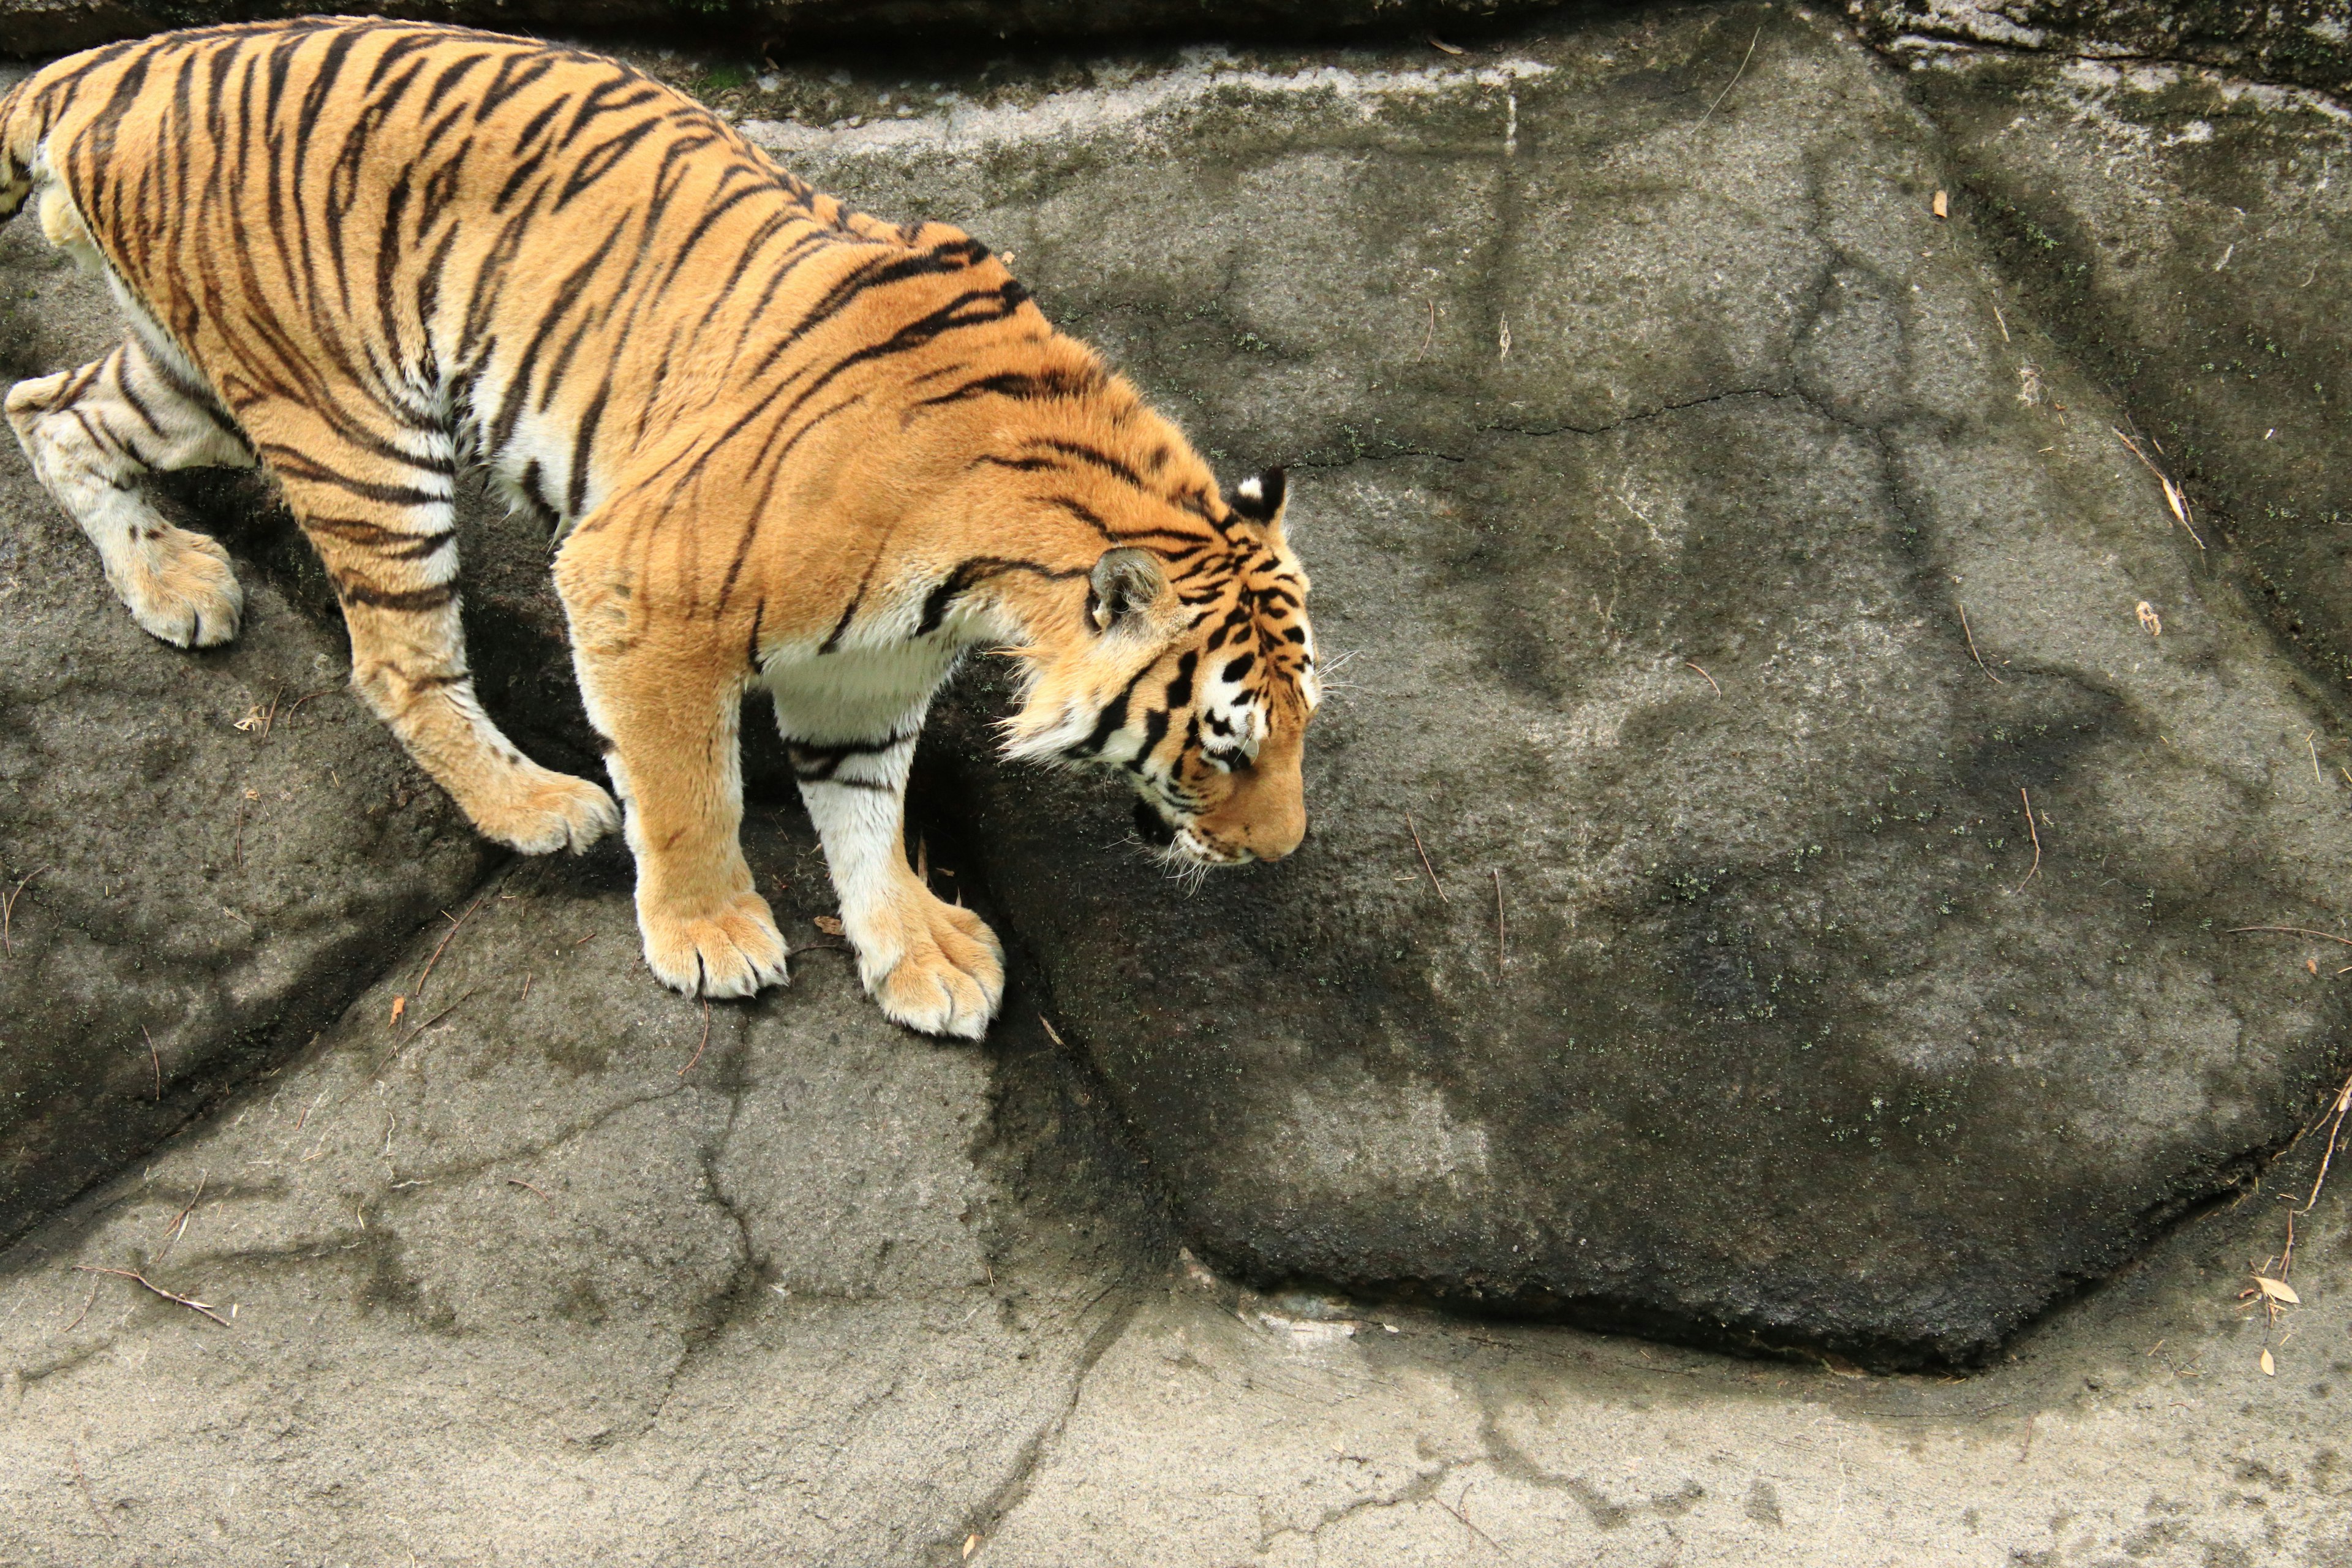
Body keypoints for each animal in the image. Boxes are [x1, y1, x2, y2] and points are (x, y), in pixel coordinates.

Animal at [0, 18, 1317, 1044]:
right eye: (1224, 746)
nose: (1280, 855)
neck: (991, 581)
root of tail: (106, 63)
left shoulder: (872, 664)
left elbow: (869, 808)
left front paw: (914, 949)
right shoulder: (640, 590)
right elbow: (694, 793)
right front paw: (711, 934)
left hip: (208, 379)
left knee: (47, 408)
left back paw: (174, 584)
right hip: (353, 428)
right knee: (396, 660)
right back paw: (537, 807)